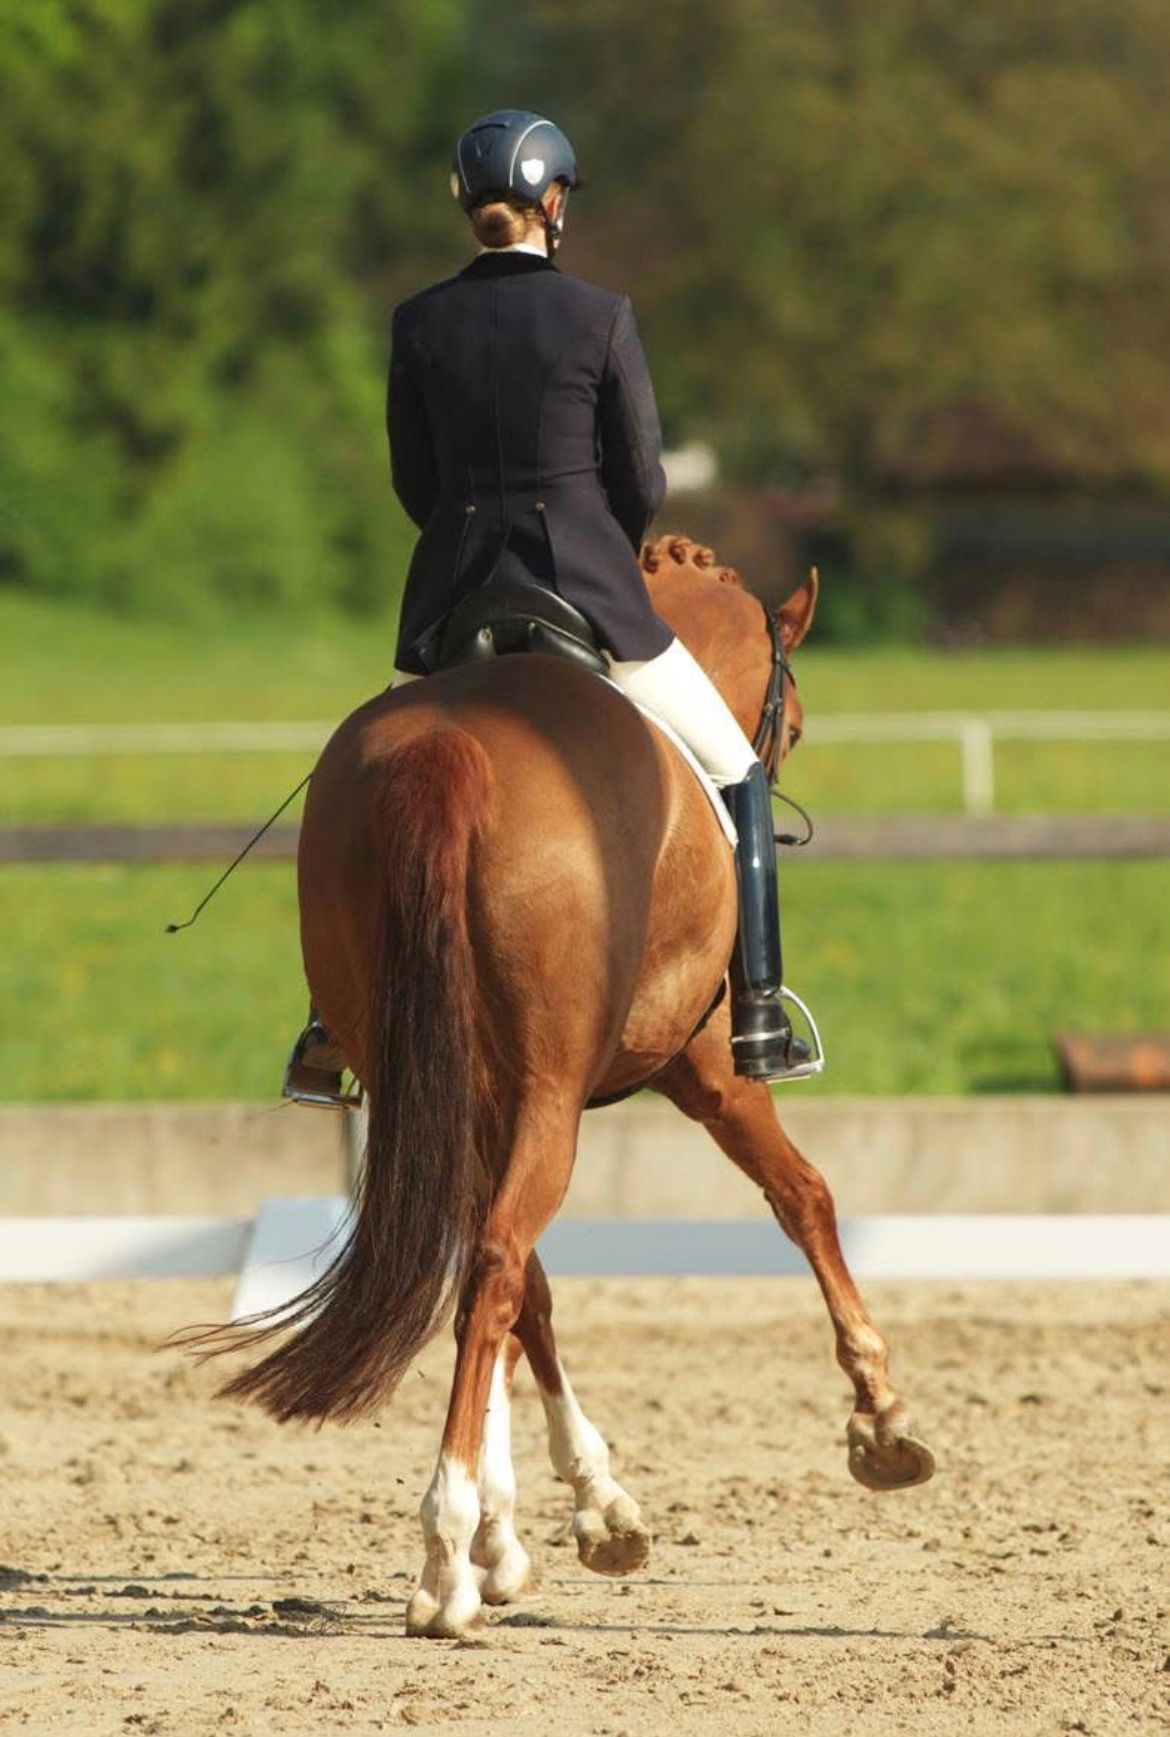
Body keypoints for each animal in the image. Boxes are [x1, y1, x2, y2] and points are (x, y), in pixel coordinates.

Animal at [199, 533, 935, 1638]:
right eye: (794, 723)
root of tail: (452, 748)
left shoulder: (484, 1100)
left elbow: (521, 1308)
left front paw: (535, 1531)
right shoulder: (705, 1072)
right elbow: (803, 1196)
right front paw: (882, 1420)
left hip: (439, 1077)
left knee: (495, 1274)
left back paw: (479, 1538)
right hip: (553, 1094)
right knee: (501, 1260)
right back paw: (446, 1559)